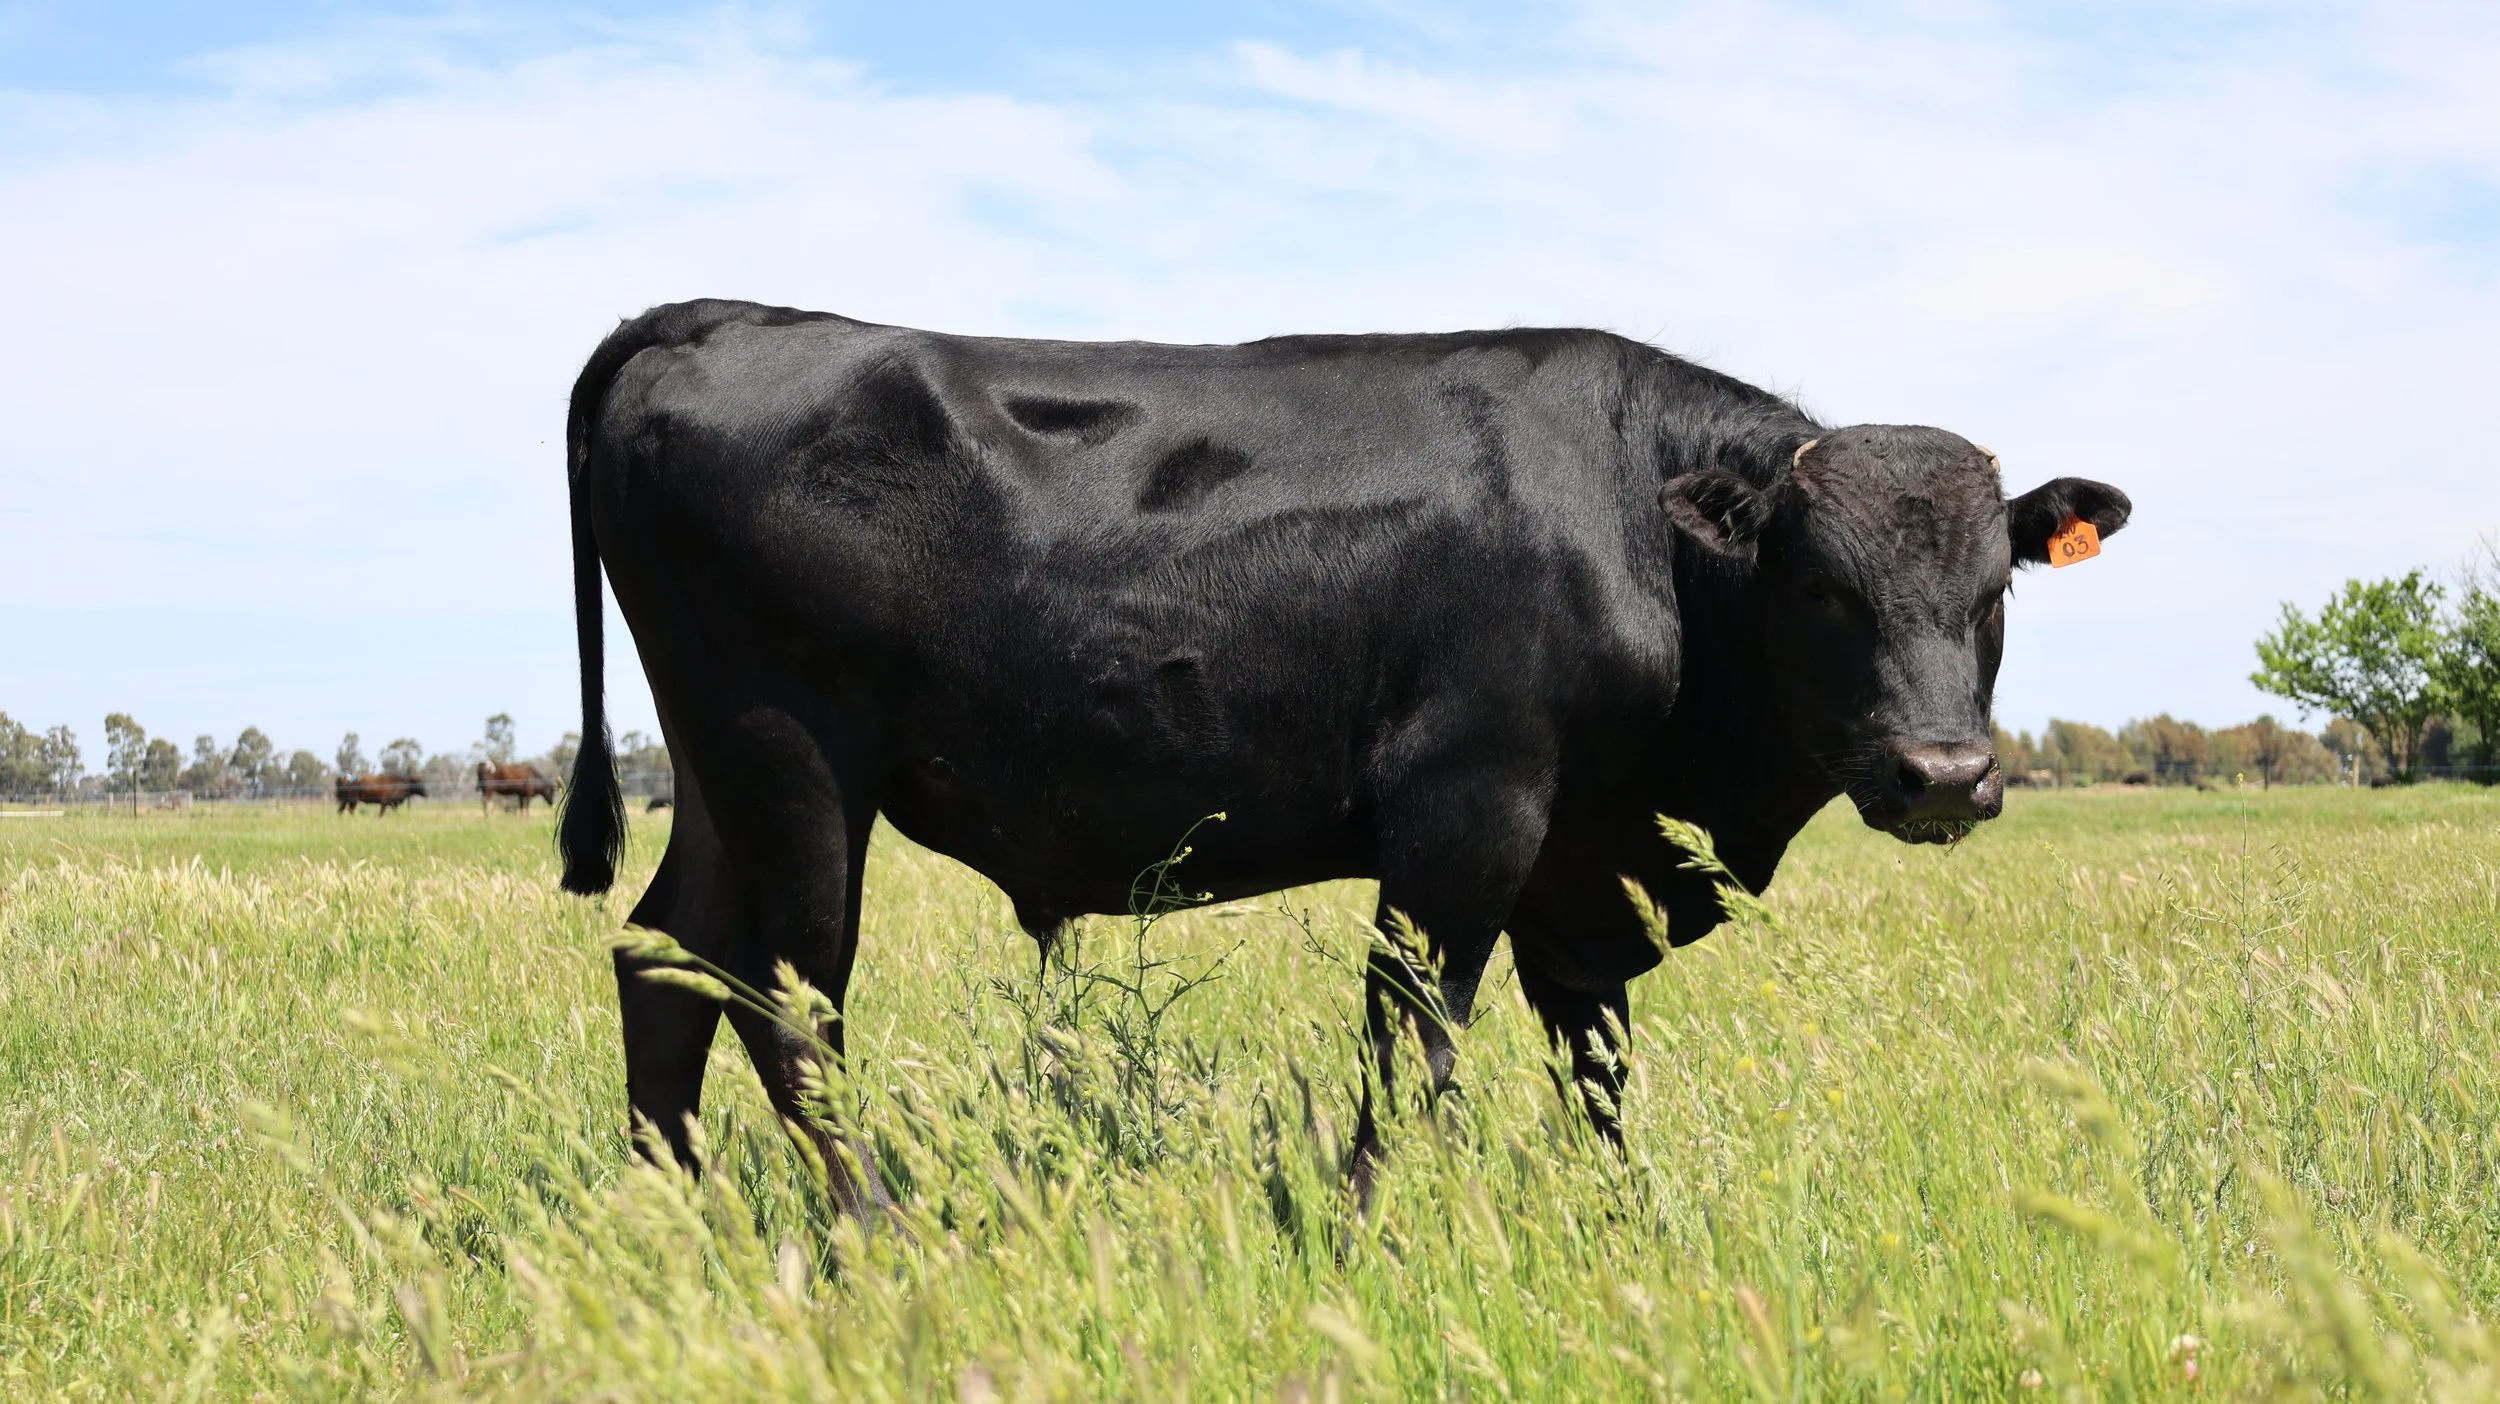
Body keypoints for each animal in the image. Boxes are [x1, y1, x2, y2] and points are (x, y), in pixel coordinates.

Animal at [556, 299, 2130, 1215]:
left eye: (1993, 588)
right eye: (1820, 590)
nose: (1942, 776)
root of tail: (725, 316)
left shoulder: (1579, 864)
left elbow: (1598, 1063)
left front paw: (1622, 1224)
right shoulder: (1471, 810)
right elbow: (1412, 1033)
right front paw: (1365, 1227)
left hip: (718, 772)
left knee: (664, 960)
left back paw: (667, 1215)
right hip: (794, 762)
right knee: (787, 1000)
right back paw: (876, 1231)